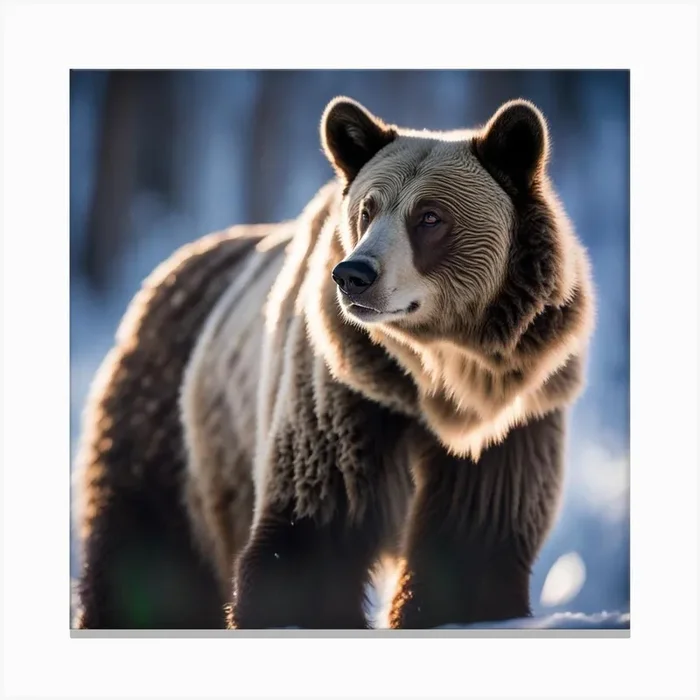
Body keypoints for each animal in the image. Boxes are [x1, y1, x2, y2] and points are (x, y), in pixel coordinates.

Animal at [74, 96, 595, 630]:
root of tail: (166, 270)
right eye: (368, 209)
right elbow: (312, 534)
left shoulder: (515, 421)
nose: (355, 274)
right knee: (147, 554)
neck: (440, 380)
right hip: (175, 425)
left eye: (429, 216)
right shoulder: (345, 393)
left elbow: (473, 542)